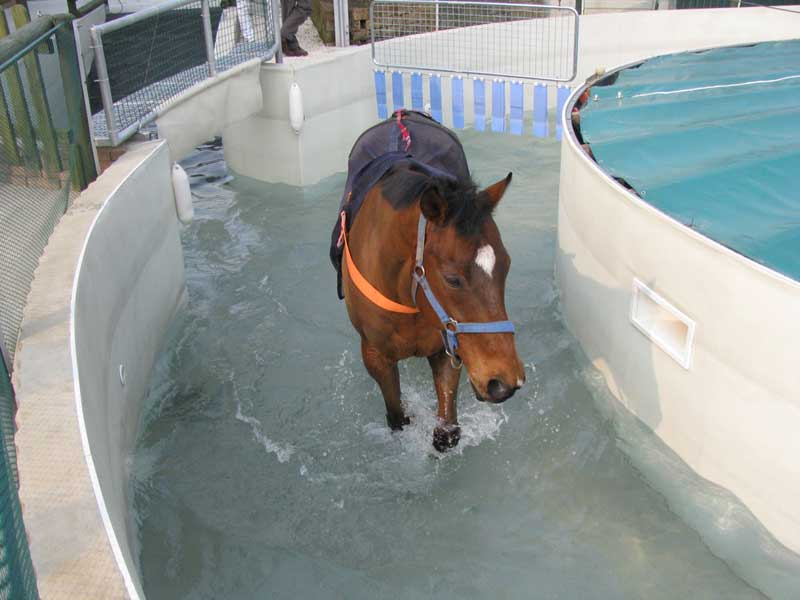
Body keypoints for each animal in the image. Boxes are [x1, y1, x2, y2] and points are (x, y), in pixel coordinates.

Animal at [332, 110, 524, 452]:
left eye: (506, 265)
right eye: (452, 279)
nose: (503, 383)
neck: (409, 296)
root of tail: (404, 114)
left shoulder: (448, 348)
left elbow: (446, 433)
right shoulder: (375, 355)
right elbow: (396, 417)